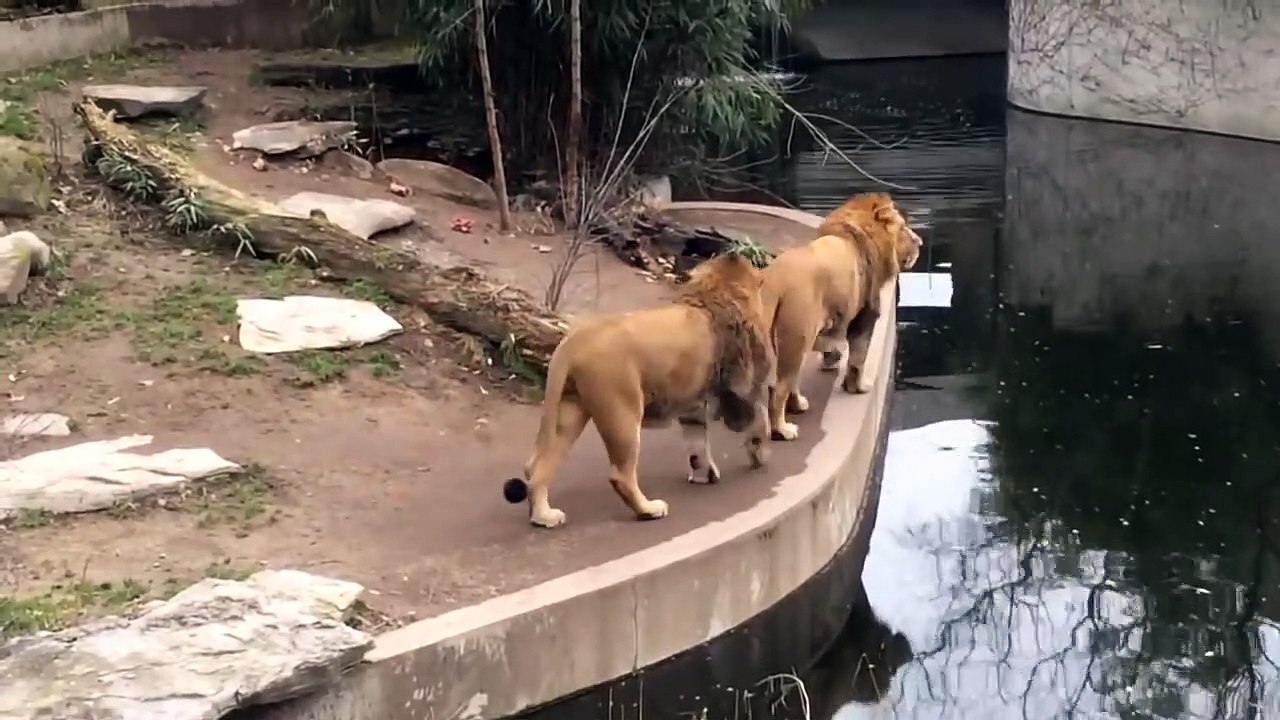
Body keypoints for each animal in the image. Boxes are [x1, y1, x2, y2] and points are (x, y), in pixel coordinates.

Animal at [501, 252, 775, 529]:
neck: (716, 290)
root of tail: (574, 339)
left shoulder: (694, 405)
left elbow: (697, 444)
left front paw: (704, 475)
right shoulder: (744, 387)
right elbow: (760, 421)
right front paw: (761, 454)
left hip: (569, 410)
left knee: (537, 466)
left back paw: (543, 516)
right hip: (622, 412)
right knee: (620, 475)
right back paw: (649, 509)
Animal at [759, 192, 922, 442]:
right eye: (904, 227)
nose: (920, 243)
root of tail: (774, 279)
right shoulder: (866, 316)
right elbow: (858, 358)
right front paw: (858, 388)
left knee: (785, 381)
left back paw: (798, 405)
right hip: (798, 337)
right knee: (778, 388)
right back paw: (783, 429)